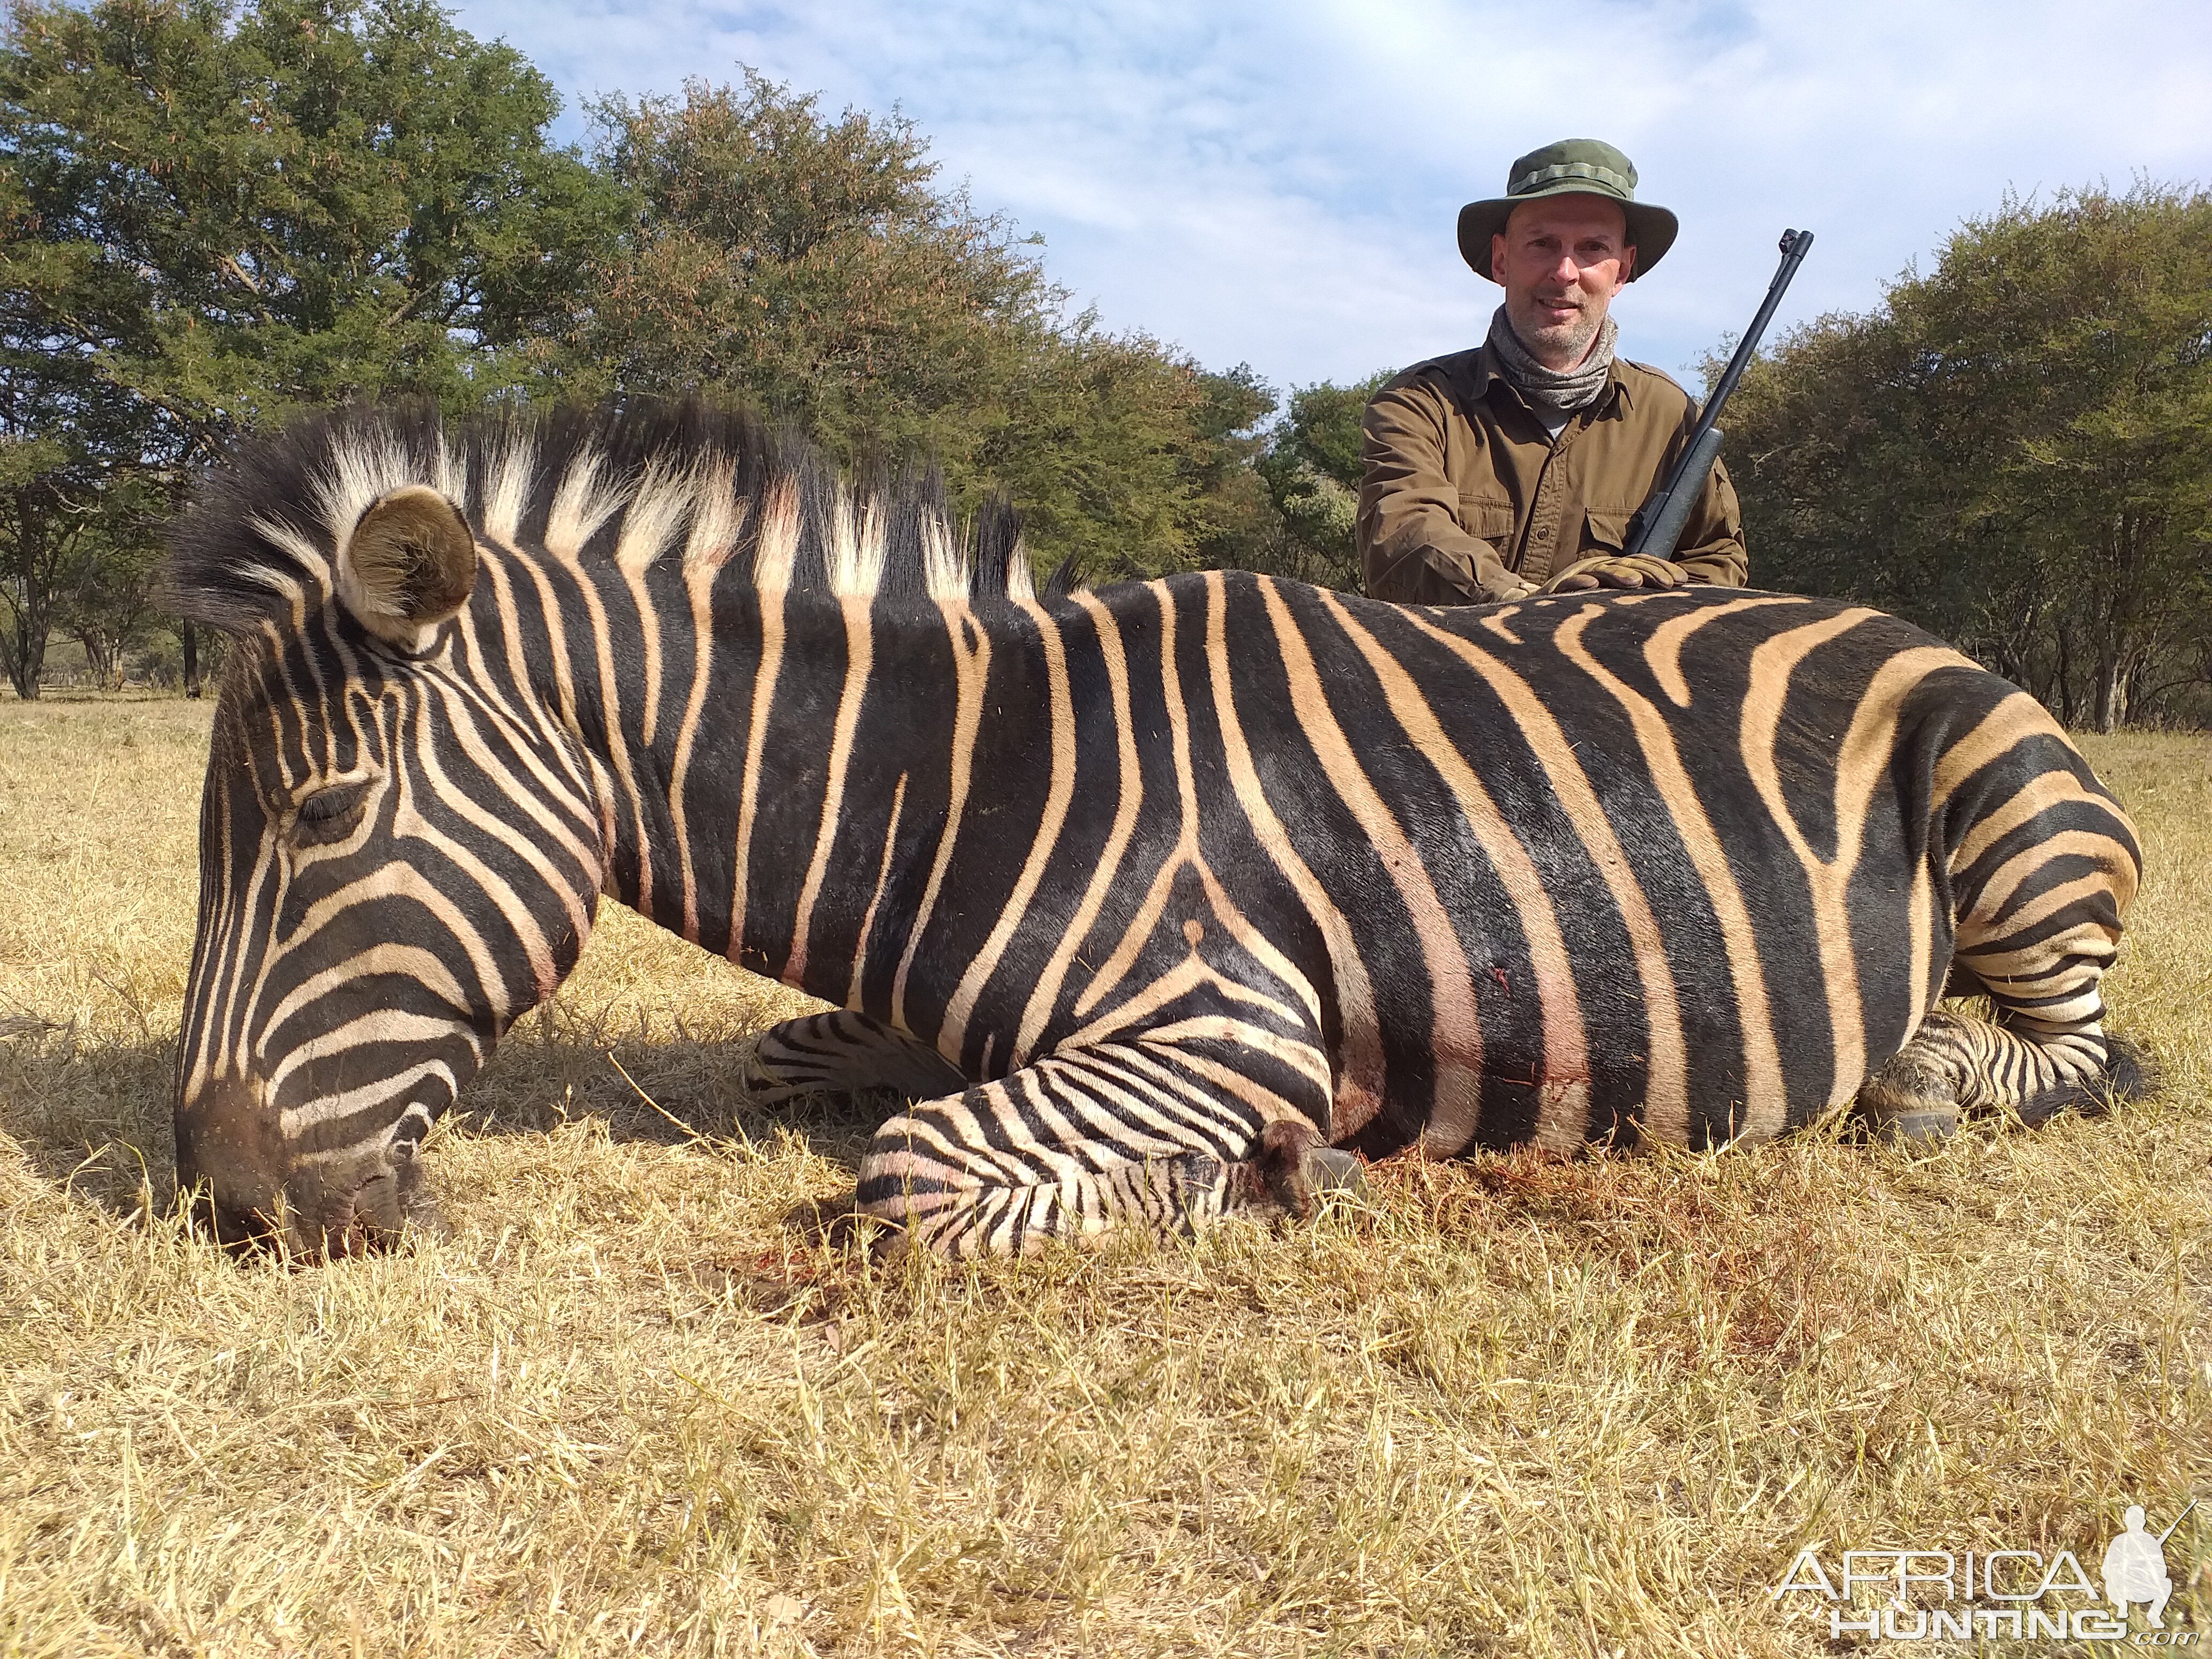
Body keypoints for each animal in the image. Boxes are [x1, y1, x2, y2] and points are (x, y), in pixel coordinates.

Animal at [168, 407, 2141, 1256]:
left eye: (320, 815)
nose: (221, 1204)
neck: (965, 796)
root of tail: (1916, 627)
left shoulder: (1228, 1019)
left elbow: (908, 1175)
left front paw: (1271, 1174)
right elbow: (806, 1059)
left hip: (2009, 814)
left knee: (2067, 1052)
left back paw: (1934, 1076)